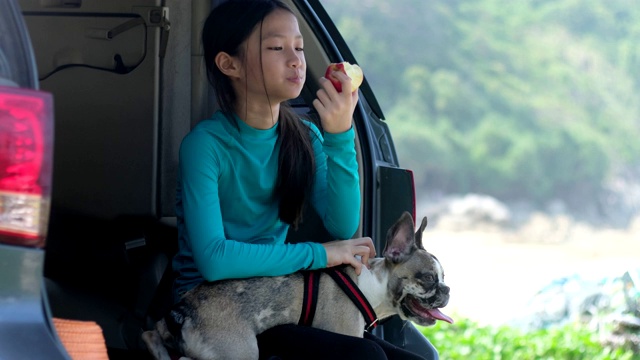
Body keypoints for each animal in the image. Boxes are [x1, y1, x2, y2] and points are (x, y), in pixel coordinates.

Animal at [141, 211, 450, 360]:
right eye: (428, 278)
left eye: (444, 278)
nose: (447, 290)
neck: (370, 285)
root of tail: (182, 310)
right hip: (241, 352)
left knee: (151, 336)